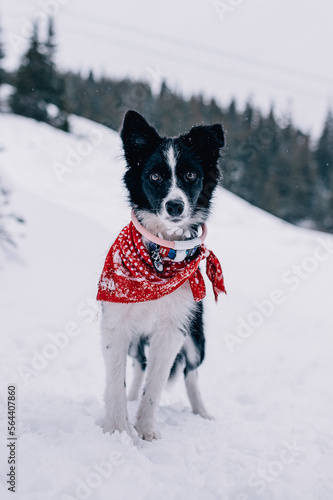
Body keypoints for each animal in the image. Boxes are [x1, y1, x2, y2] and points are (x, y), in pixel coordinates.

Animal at [97, 110, 224, 442]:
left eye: (191, 175)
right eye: (155, 177)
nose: (175, 206)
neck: (159, 261)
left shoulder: (172, 330)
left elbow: (155, 385)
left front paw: (144, 430)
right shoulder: (116, 322)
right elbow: (115, 381)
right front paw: (117, 430)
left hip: (196, 335)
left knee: (191, 373)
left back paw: (202, 413)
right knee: (138, 365)